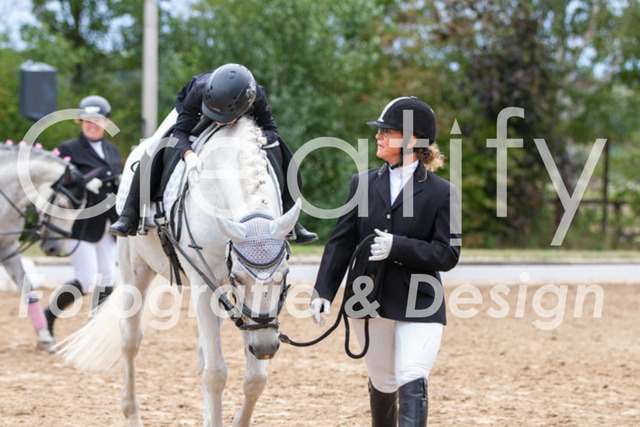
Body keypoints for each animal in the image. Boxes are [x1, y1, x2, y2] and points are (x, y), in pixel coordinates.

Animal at [58, 117, 301, 426]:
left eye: (285, 274)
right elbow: (216, 373)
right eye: (238, 277)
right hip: (135, 270)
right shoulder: (205, 284)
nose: (266, 348)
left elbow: (256, 378)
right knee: (130, 341)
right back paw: (132, 414)